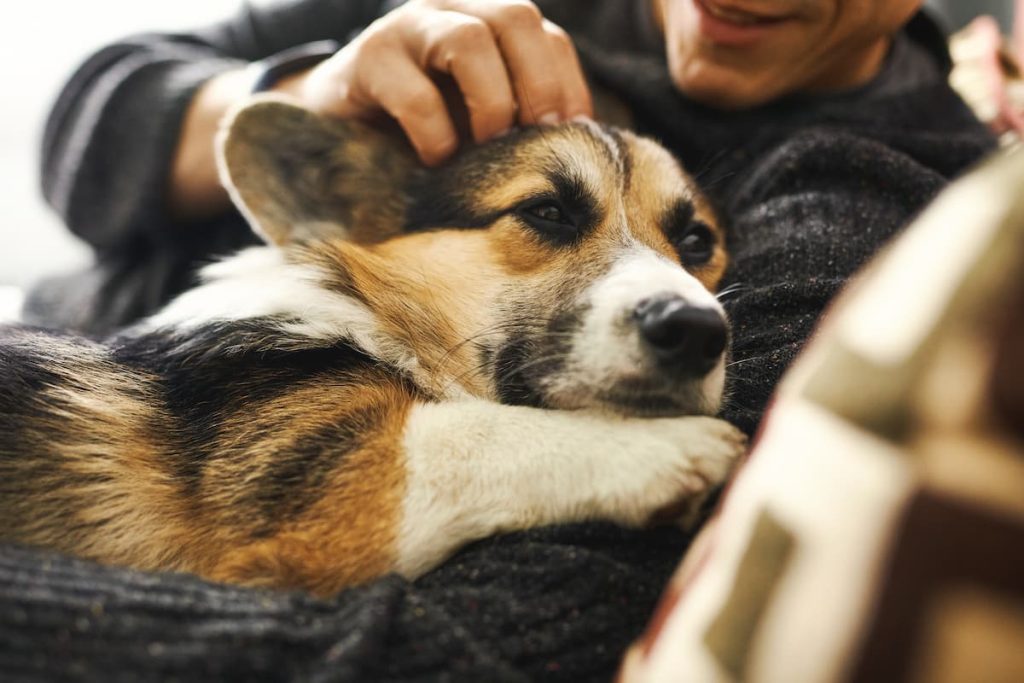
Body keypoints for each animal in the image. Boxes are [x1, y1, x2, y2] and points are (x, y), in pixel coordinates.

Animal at [0, 98, 745, 593]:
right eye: (547, 212)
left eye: (697, 241)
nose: (696, 331)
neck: (369, 312)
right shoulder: (347, 492)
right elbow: (480, 434)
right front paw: (666, 446)